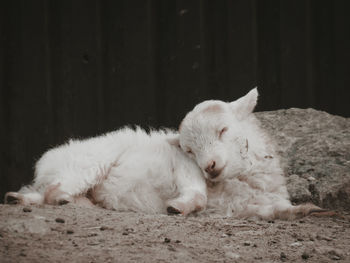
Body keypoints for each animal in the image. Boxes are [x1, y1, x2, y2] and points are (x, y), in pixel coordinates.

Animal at [4, 128, 206, 217]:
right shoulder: (185, 169)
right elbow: (198, 196)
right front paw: (176, 208)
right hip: (90, 167)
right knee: (52, 191)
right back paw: (73, 202)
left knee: (42, 193)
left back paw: (14, 198)